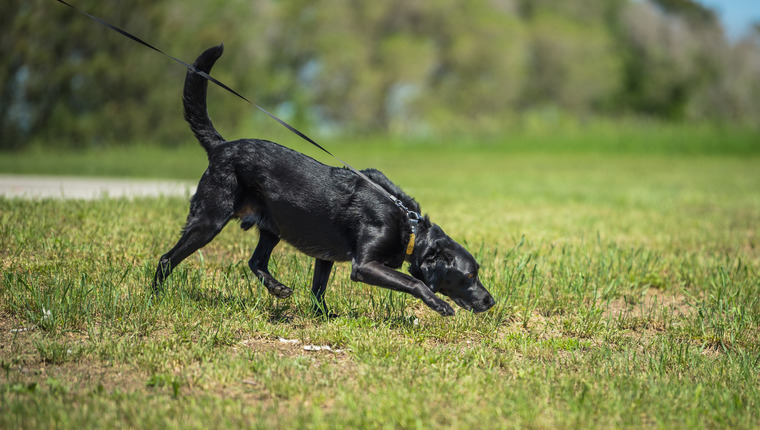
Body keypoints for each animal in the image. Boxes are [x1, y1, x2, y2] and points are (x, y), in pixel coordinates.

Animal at [153, 46, 498, 316]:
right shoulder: (365, 265)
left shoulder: (325, 256)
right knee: (166, 259)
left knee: (255, 261)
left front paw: (323, 316)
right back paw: (155, 298)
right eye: (469, 276)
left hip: (272, 225)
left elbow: (318, 288)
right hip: (210, 219)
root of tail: (221, 146)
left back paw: (278, 288)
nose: (491, 301)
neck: (409, 226)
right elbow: (414, 281)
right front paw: (439, 305)